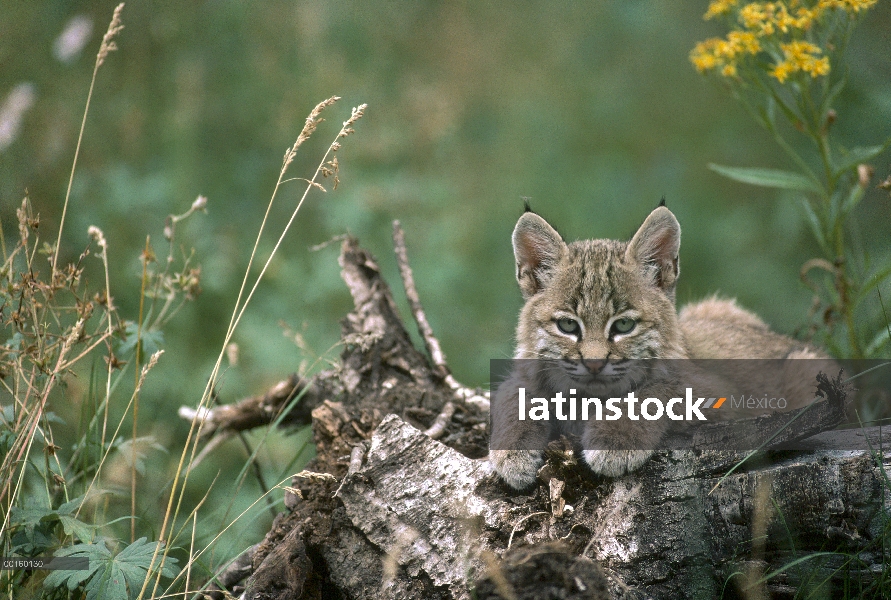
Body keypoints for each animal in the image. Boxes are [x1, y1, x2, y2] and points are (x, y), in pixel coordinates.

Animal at [492, 204, 824, 490]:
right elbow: (514, 392)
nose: (595, 364)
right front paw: (511, 453)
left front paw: (614, 439)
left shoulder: (726, 400)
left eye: (624, 326)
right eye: (568, 326)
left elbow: (657, 390)